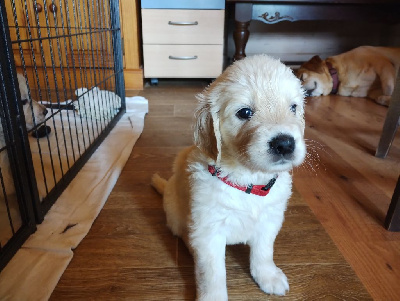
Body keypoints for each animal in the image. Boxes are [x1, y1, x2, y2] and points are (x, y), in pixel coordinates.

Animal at [152, 55, 306, 298]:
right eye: (245, 112)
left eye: (293, 107)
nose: (285, 144)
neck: (247, 179)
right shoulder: (208, 230)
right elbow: (212, 273)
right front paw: (213, 297)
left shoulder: (270, 220)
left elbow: (264, 251)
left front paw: (267, 276)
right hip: (175, 215)